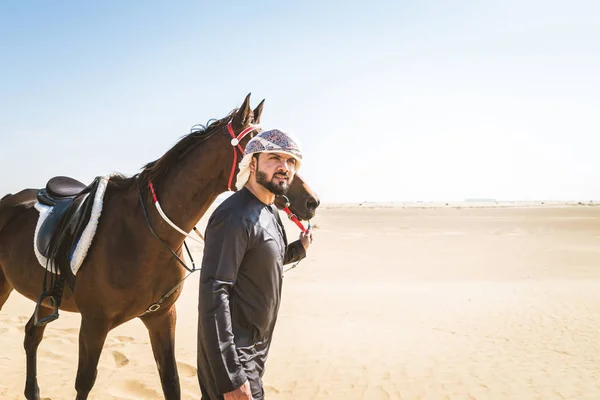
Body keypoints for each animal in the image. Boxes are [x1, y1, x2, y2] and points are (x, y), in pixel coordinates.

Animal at [0, 94, 322, 400]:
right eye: (267, 150)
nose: (312, 201)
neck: (144, 234)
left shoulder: (162, 317)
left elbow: (171, 382)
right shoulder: (94, 324)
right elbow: (84, 384)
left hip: (44, 299)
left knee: (32, 335)